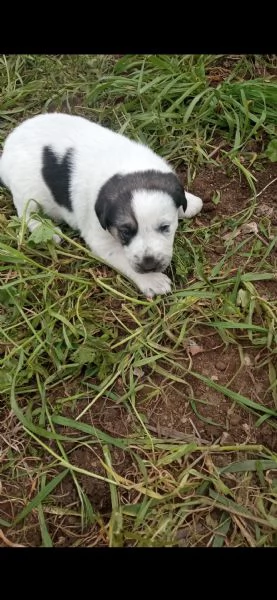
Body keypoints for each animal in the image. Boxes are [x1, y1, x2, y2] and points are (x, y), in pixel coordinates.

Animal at [0, 112, 203, 298]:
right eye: (124, 232)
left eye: (165, 227)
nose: (149, 264)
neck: (127, 168)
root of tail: (6, 151)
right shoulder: (100, 238)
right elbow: (124, 259)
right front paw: (152, 280)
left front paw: (190, 202)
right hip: (27, 194)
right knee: (27, 215)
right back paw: (47, 231)